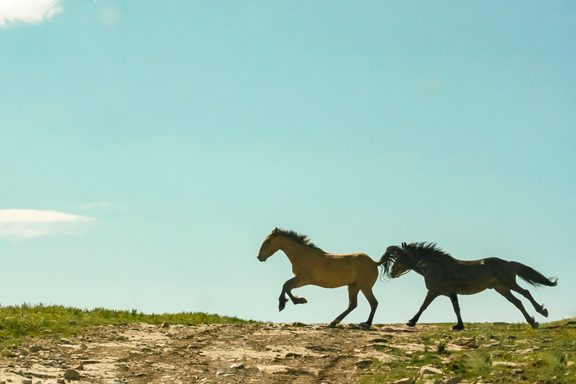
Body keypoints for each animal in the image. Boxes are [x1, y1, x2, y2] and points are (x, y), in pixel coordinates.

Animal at [258, 226, 394, 328]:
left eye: (268, 241)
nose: (259, 257)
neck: (303, 254)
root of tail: (375, 262)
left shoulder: (304, 279)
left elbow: (286, 286)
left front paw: (292, 302)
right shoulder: (300, 279)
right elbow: (286, 285)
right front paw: (293, 301)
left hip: (364, 287)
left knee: (373, 303)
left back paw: (366, 324)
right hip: (353, 286)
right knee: (353, 304)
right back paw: (333, 322)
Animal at [382, 243, 560, 330]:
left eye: (400, 258)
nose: (392, 272)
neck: (437, 267)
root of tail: (509, 263)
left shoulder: (449, 292)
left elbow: (456, 309)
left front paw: (458, 326)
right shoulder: (434, 292)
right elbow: (423, 306)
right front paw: (411, 321)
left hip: (508, 284)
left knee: (526, 293)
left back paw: (542, 312)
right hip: (502, 288)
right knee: (518, 302)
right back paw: (533, 322)